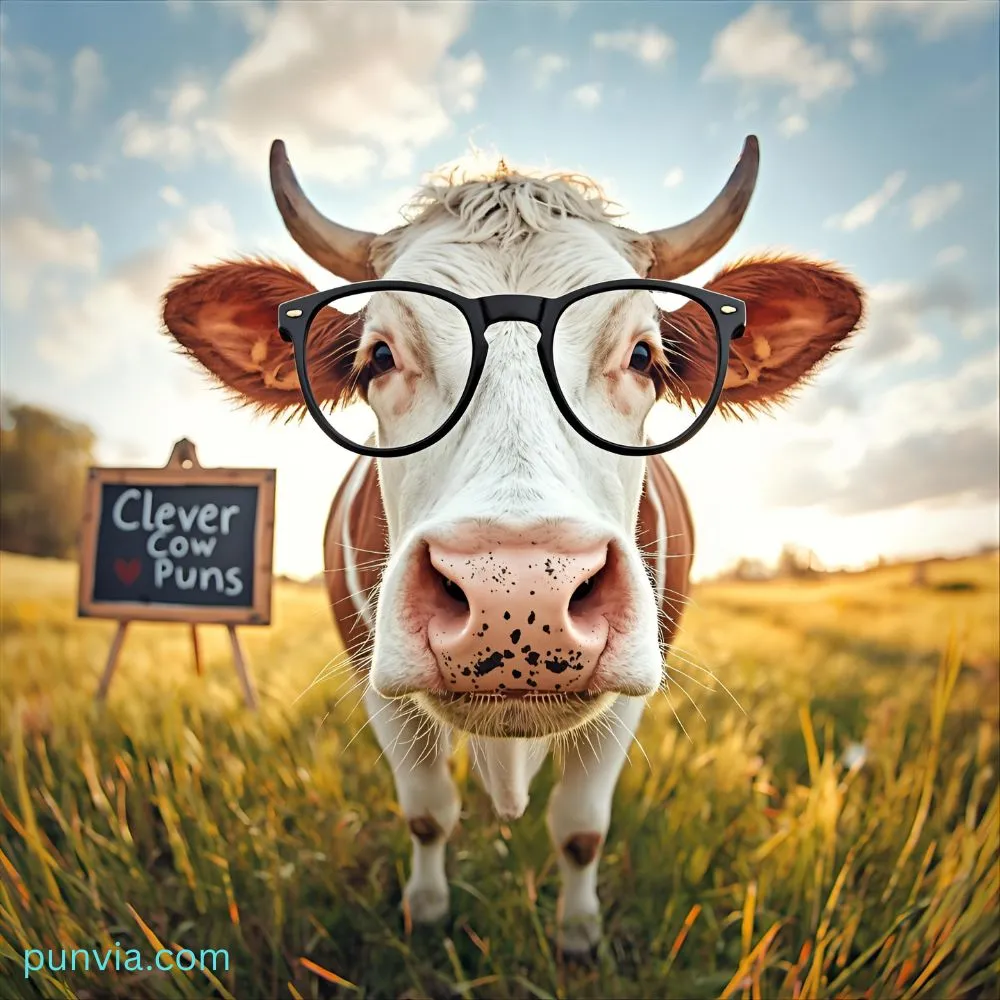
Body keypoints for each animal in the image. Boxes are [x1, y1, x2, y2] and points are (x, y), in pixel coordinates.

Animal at [162, 135, 864, 954]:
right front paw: (427, 909)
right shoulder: (380, 691)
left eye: (645, 357)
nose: (518, 594)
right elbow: (427, 813)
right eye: (377, 357)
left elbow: (581, 829)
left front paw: (578, 933)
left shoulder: (623, 702)